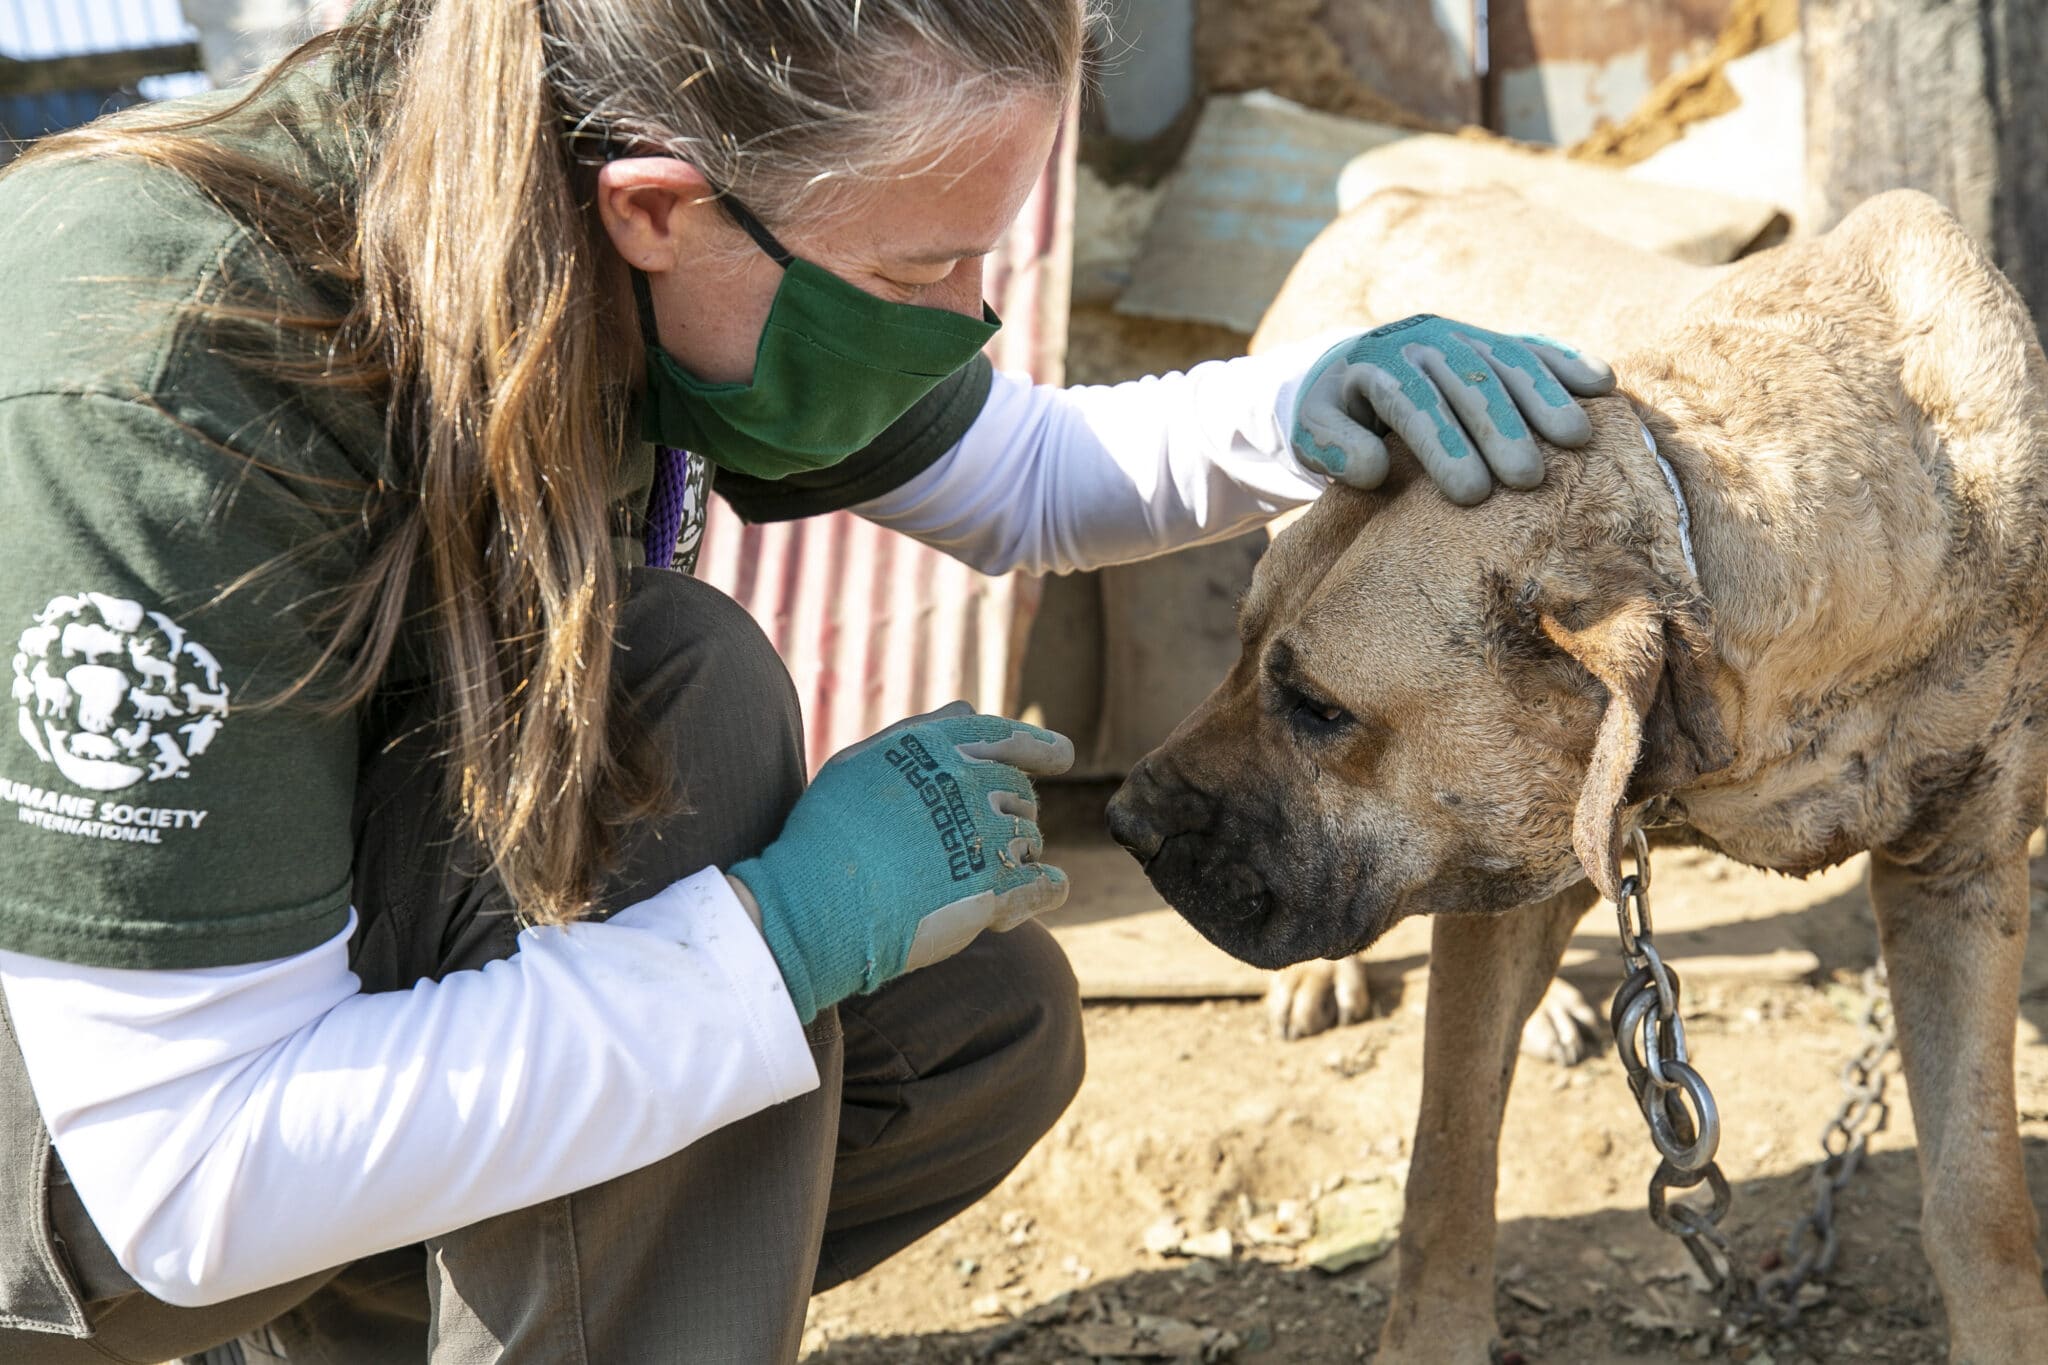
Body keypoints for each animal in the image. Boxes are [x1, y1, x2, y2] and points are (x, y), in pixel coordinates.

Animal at [1114, 187, 2048, 1358]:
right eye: (1247, 654)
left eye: (1321, 710)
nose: (1126, 821)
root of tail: (1391, 193)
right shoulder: (1504, 854)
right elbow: (1448, 1155)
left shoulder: (1961, 876)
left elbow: (1980, 1198)